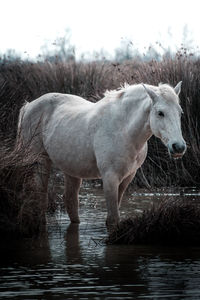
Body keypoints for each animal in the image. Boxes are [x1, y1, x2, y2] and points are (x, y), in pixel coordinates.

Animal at [17, 82, 186, 227]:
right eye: (160, 113)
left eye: (180, 112)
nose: (178, 147)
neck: (124, 130)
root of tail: (29, 106)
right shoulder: (110, 177)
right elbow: (112, 219)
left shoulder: (127, 178)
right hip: (41, 161)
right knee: (41, 197)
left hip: (71, 169)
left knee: (71, 202)